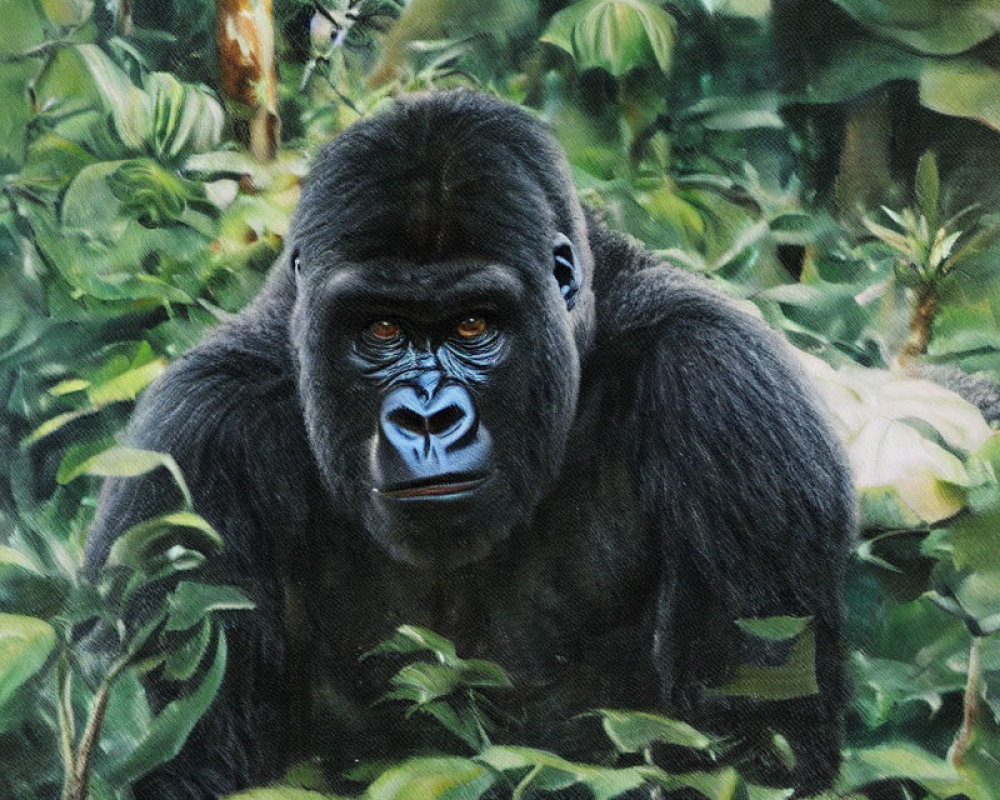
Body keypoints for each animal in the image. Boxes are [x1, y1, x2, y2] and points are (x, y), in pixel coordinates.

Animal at [86, 92, 856, 800]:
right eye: (382, 329)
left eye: (473, 326)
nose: (429, 418)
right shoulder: (196, 440)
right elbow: (201, 764)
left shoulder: (729, 398)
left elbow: (756, 749)